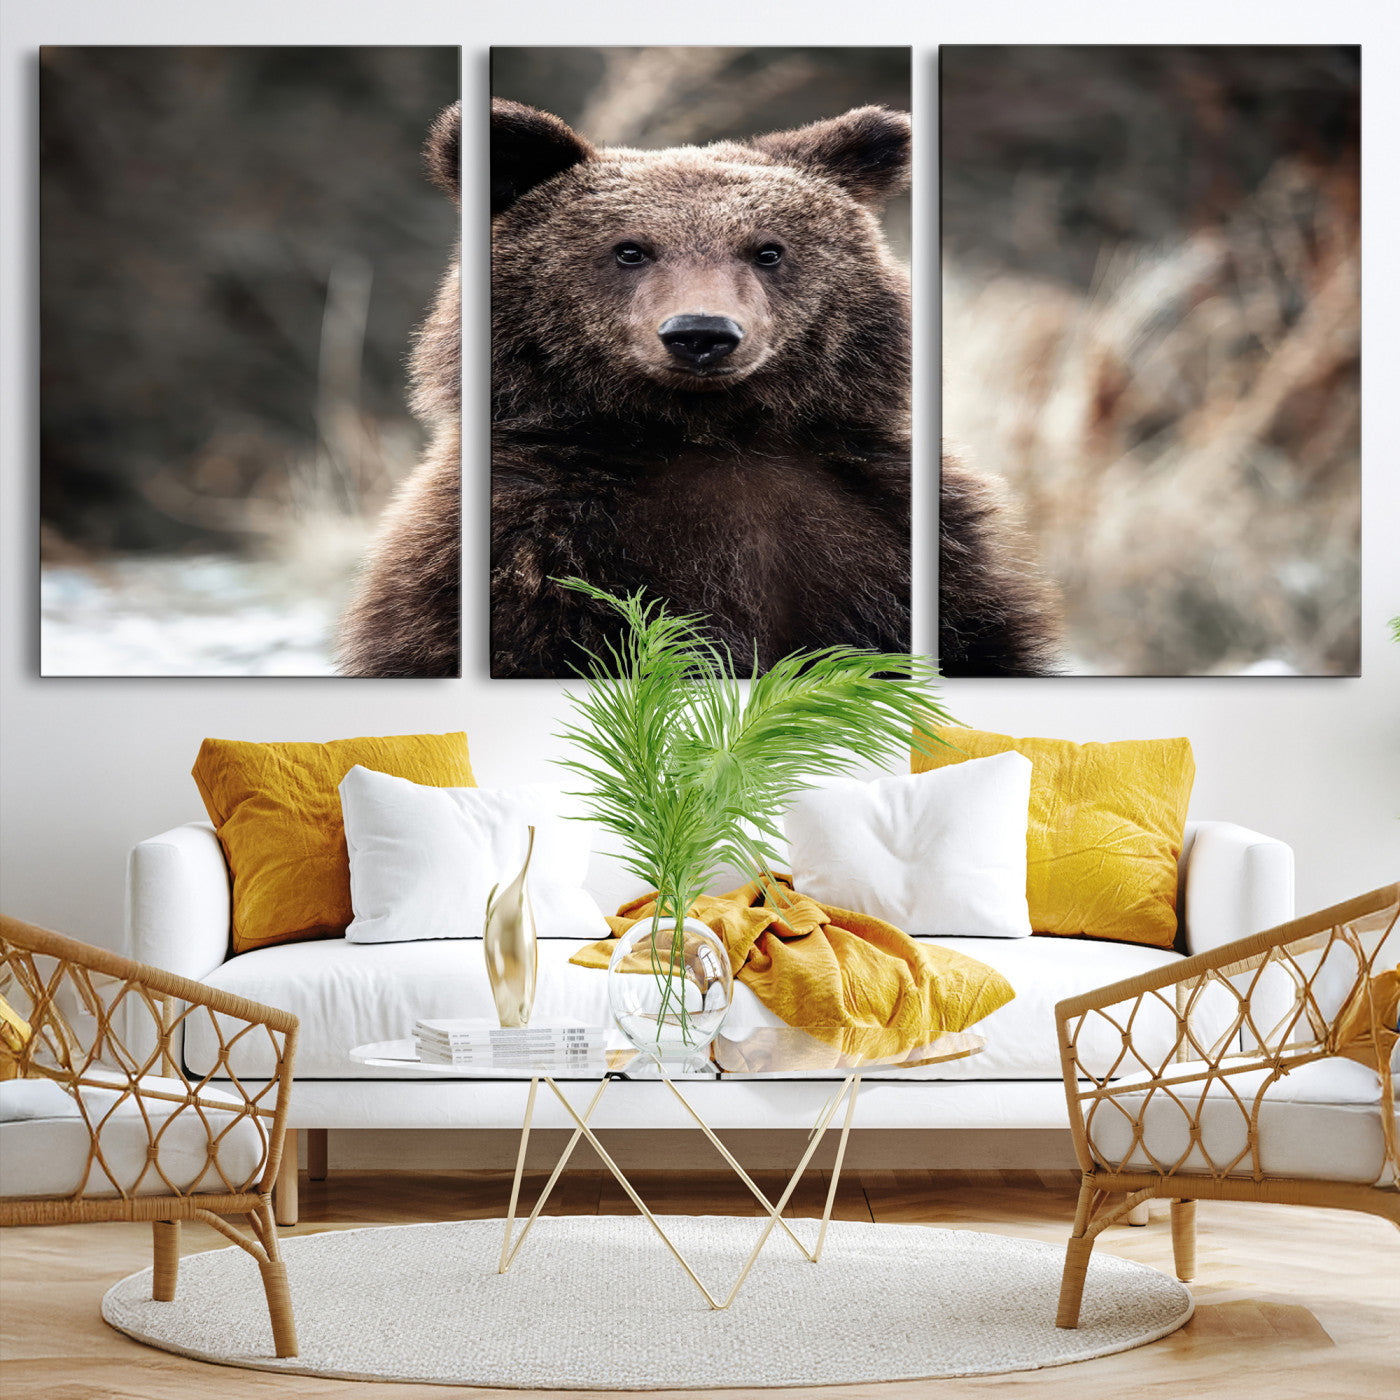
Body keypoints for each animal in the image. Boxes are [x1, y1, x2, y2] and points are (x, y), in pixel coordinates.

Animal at [338, 99, 1061, 679]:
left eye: (768, 250)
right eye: (630, 249)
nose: (702, 333)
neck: (710, 432)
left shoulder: (896, 532)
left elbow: (975, 639)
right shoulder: (524, 548)